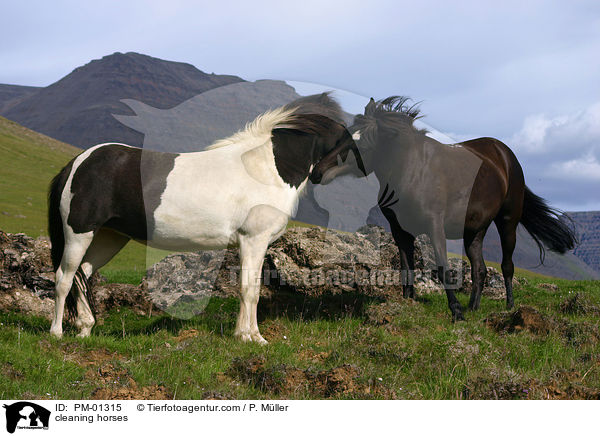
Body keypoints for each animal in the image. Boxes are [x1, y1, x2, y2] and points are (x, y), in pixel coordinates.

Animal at [49, 93, 360, 342]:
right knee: (64, 278)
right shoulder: (253, 241)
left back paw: (85, 329)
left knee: (83, 275)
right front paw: (252, 338)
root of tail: (77, 163)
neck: (265, 168)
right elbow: (250, 290)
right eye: (348, 140)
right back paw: (57, 333)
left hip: (109, 237)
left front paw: (246, 334)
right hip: (79, 232)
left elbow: (251, 288)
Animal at [312, 98, 576, 320]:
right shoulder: (400, 230)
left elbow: (442, 268)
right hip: (474, 231)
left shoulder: (434, 225)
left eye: (363, 145)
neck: (411, 170)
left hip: (507, 221)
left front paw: (456, 311)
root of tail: (505, 154)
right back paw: (473, 307)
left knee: (506, 266)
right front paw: (408, 303)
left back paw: (509, 307)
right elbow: (406, 267)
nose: (317, 172)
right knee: (479, 269)